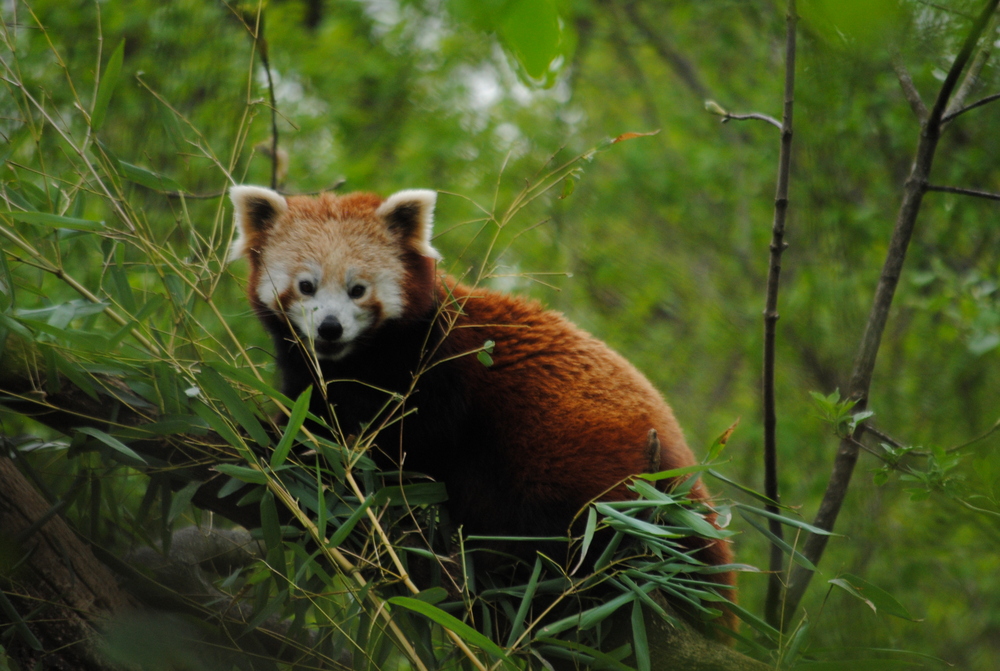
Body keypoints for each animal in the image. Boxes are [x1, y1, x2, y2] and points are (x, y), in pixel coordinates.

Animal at [232, 184, 736, 616]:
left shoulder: (437, 370)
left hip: (578, 454)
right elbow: (309, 417)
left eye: (358, 290)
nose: (330, 328)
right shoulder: (312, 375)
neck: (359, 360)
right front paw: (280, 442)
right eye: (306, 286)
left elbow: (413, 441)